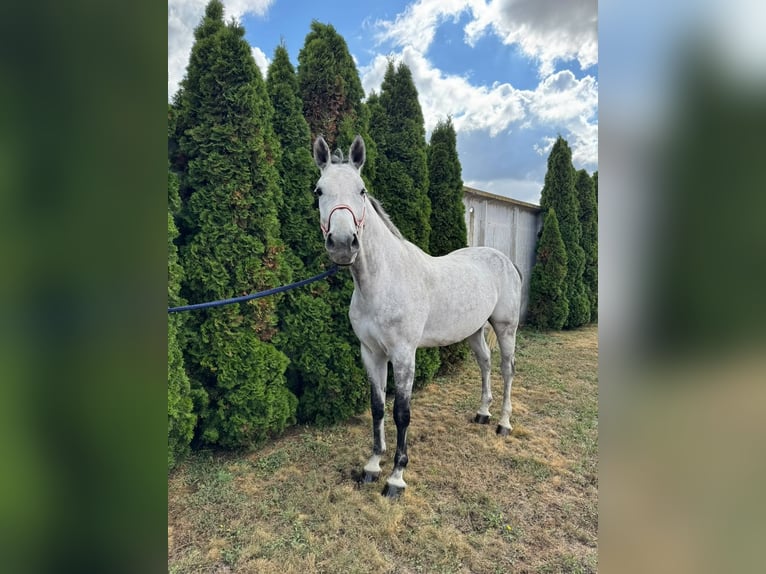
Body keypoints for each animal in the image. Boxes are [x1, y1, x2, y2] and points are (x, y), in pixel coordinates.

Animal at [312, 134, 522, 498]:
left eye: (362, 190)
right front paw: (372, 465)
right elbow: (378, 406)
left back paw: (503, 423)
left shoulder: (403, 355)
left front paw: (396, 477)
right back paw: (482, 413)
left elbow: (401, 412)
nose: (341, 244)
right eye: (319, 191)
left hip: (505, 328)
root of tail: (505, 260)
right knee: (485, 364)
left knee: (507, 370)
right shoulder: (371, 353)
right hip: (473, 331)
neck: (383, 280)